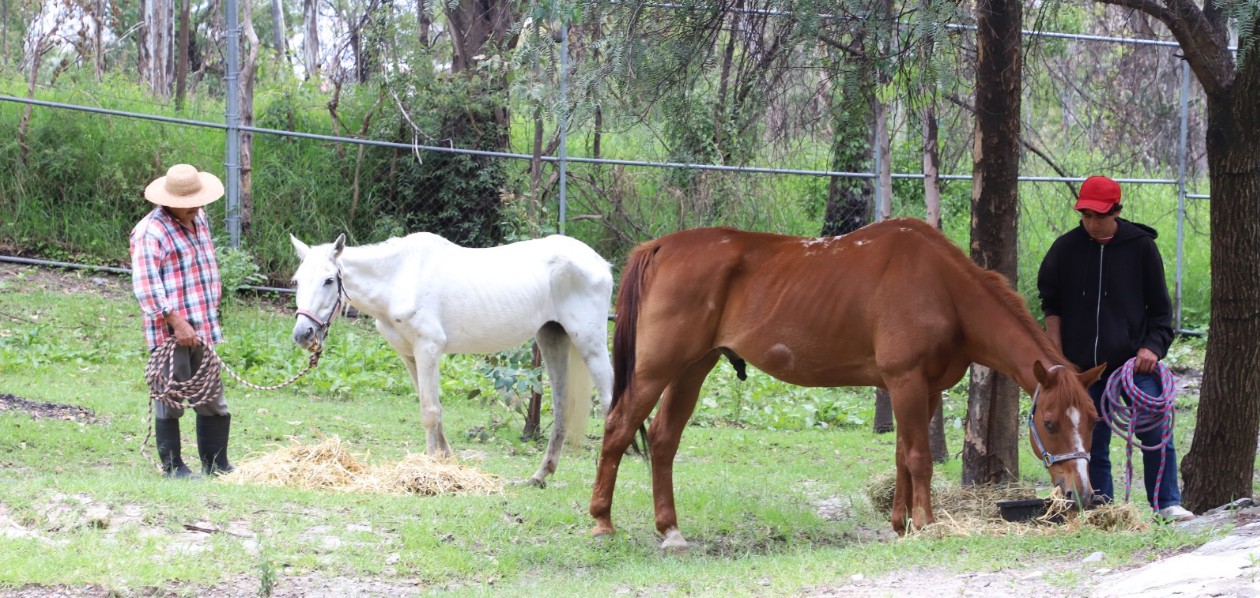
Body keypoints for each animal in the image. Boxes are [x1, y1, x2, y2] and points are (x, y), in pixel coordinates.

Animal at [289, 232, 615, 487]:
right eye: (297, 281)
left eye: (329, 280)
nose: (303, 334)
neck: (399, 278)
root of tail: (601, 263)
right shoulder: (410, 355)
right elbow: (432, 408)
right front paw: (445, 460)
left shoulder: (428, 349)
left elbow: (430, 411)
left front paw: (432, 467)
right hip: (552, 337)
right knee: (561, 407)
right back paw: (540, 476)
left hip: (590, 344)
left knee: (610, 401)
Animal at [590, 218, 1105, 549]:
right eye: (1051, 422)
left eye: (1094, 420)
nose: (1081, 493)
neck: (942, 288)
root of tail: (661, 247)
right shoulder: (906, 383)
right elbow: (919, 459)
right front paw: (926, 524)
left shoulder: (924, 390)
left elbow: (902, 456)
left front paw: (901, 524)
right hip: (657, 369)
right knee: (617, 429)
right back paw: (602, 524)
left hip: (692, 369)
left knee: (662, 440)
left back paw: (670, 531)